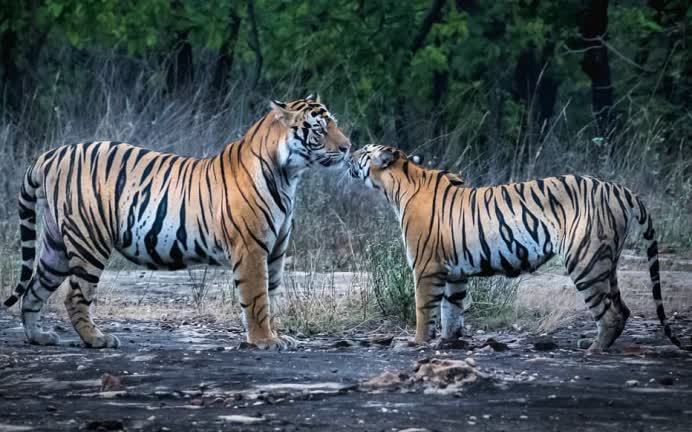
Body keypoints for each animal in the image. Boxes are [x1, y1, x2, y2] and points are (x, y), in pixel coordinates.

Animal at [4, 96, 352, 350]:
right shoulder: (252, 249)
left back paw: (40, 337)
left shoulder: (276, 251)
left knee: (33, 290)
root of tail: (51, 154)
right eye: (319, 129)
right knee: (74, 297)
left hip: (56, 247)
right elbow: (256, 298)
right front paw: (264, 341)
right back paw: (97, 339)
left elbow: (272, 295)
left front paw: (276, 335)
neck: (288, 176)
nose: (348, 147)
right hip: (90, 240)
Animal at [348, 145, 688, 352]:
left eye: (364, 151)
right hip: (608, 261)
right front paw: (449, 342)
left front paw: (418, 343)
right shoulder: (454, 272)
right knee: (622, 308)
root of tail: (620, 189)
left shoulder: (426, 267)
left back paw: (593, 349)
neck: (397, 185)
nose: (349, 150)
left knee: (611, 313)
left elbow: (424, 309)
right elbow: (451, 310)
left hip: (585, 261)